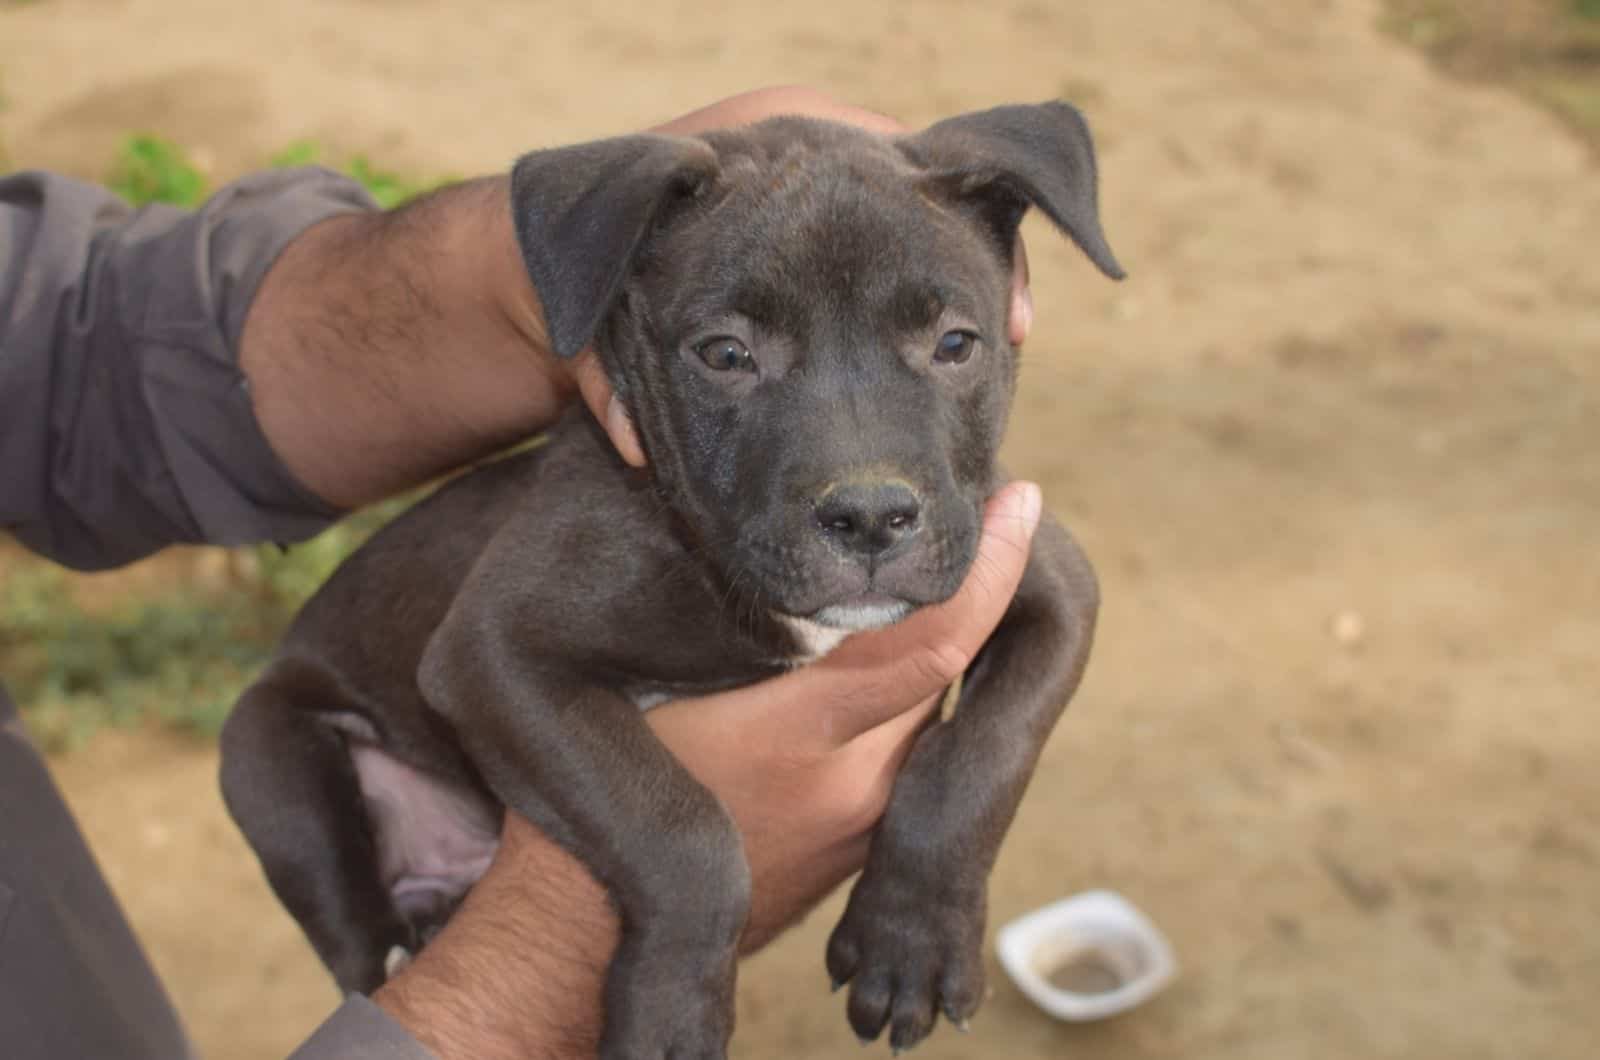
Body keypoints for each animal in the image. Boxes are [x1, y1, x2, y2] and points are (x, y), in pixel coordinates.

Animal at [222, 101, 1126, 1060]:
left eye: (956, 344)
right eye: (725, 355)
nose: (871, 516)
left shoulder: (1047, 576)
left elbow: (981, 755)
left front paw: (911, 938)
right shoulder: (493, 655)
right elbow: (681, 832)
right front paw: (669, 1013)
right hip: (267, 754)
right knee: (340, 901)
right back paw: (397, 951)